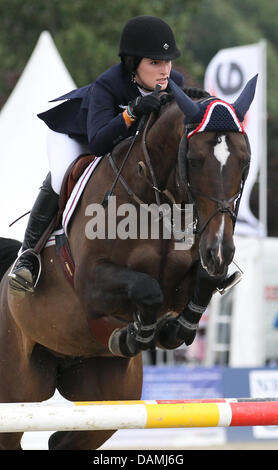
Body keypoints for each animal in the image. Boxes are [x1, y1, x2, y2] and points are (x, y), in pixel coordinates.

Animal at [0, 75, 256, 450]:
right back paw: (25, 270)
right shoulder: (91, 284)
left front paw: (172, 328)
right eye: (193, 160)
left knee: (64, 440)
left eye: (244, 160)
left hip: (105, 395)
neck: (157, 204)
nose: (220, 251)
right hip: (17, 390)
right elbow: (147, 288)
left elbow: (205, 281)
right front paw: (139, 334)